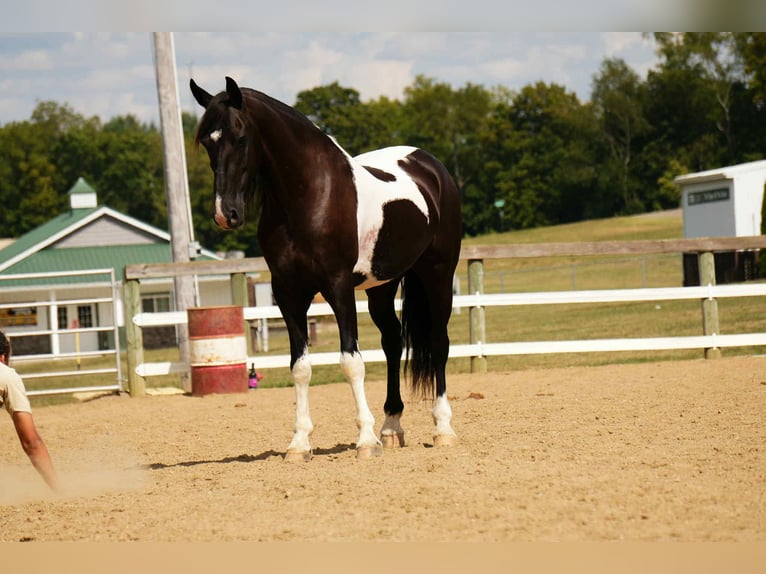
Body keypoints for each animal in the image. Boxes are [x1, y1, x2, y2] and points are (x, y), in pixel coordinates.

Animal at [190, 77, 462, 460]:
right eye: (207, 142)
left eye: (240, 136)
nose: (224, 213)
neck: (310, 195)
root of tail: (432, 168)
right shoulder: (288, 293)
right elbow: (300, 366)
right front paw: (299, 443)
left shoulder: (338, 287)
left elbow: (351, 361)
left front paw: (365, 441)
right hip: (382, 286)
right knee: (393, 342)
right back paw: (391, 427)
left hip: (437, 273)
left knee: (438, 342)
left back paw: (443, 429)